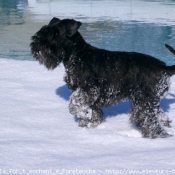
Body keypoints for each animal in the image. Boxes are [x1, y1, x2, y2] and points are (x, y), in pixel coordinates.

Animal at [30, 17, 175, 138]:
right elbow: (94, 111)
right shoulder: (91, 95)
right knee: (158, 113)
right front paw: (88, 124)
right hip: (148, 100)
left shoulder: (88, 90)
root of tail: (164, 67)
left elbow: (74, 105)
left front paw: (83, 115)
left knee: (149, 121)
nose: (35, 44)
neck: (78, 55)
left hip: (143, 101)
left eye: (56, 33)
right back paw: (166, 123)